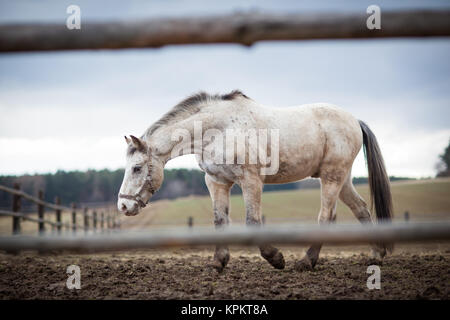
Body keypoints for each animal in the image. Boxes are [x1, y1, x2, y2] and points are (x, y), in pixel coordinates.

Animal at [118, 90, 392, 272]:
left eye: (137, 168)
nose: (123, 205)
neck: (219, 129)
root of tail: (355, 121)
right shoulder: (217, 182)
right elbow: (220, 220)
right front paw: (218, 262)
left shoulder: (250, 181)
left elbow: (253, 221)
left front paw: (276, 258)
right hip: (342, 179)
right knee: (361, 210)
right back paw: (376, 256)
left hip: (332, 177)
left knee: (326, 217)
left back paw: (306, 261)